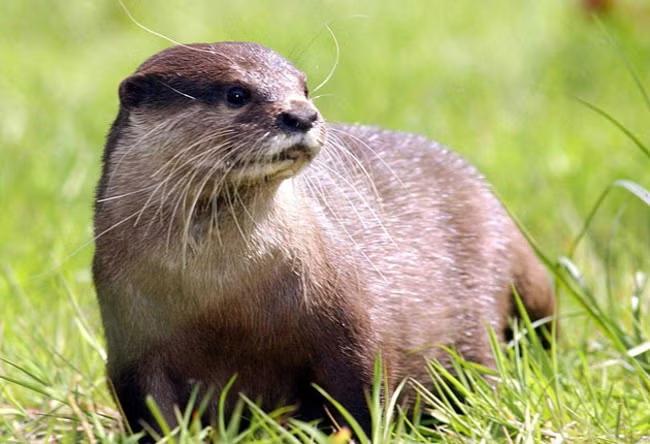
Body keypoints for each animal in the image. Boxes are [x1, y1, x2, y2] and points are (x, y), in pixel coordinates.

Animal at [93, 41, 555, 437]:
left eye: (303, 87)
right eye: (236, 93)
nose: (302, 114)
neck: (220, 298)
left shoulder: (346, 322)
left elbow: (362, 394)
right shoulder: (131, 342)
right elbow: (152, 412)